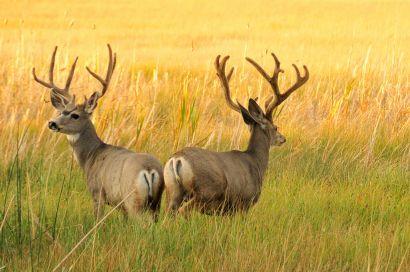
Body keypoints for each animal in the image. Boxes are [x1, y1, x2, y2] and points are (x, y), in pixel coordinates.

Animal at [32, 44, 163, 219]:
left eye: (75, 115)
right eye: (60, 112)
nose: (52, 123)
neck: (91, 156)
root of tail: (149, 170)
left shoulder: (97, 192)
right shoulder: (120, 206)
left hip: (133, 200)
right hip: (156, 204)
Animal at [163, 52, 308, 215]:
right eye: (275, 127)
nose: (283, 139)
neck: (256, 162)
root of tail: (177, 160)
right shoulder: (243, 203)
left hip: (172, 191)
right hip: (206, 191)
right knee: (183, 211)